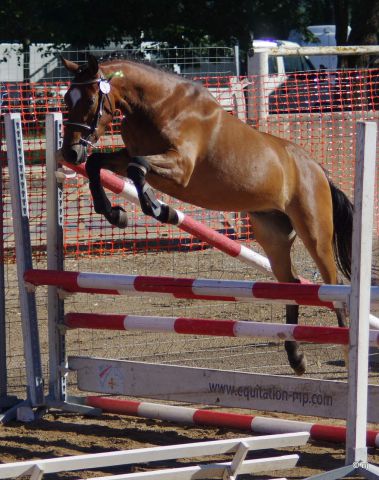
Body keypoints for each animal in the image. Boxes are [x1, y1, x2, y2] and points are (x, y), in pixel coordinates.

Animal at [60, 55, 354, 376]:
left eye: (90, 100)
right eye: (66, 99)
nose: (69, 154)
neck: (158, 106)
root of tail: (316, 168)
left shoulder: (180, 168)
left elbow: (138, 168)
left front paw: (160, 209)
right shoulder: (129, 156)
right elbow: (98, 164)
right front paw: (115, 213)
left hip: (315, 234)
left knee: (334, 288)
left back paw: (345, 353)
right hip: (273, 236)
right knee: (291, 285)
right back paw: (296, 357)